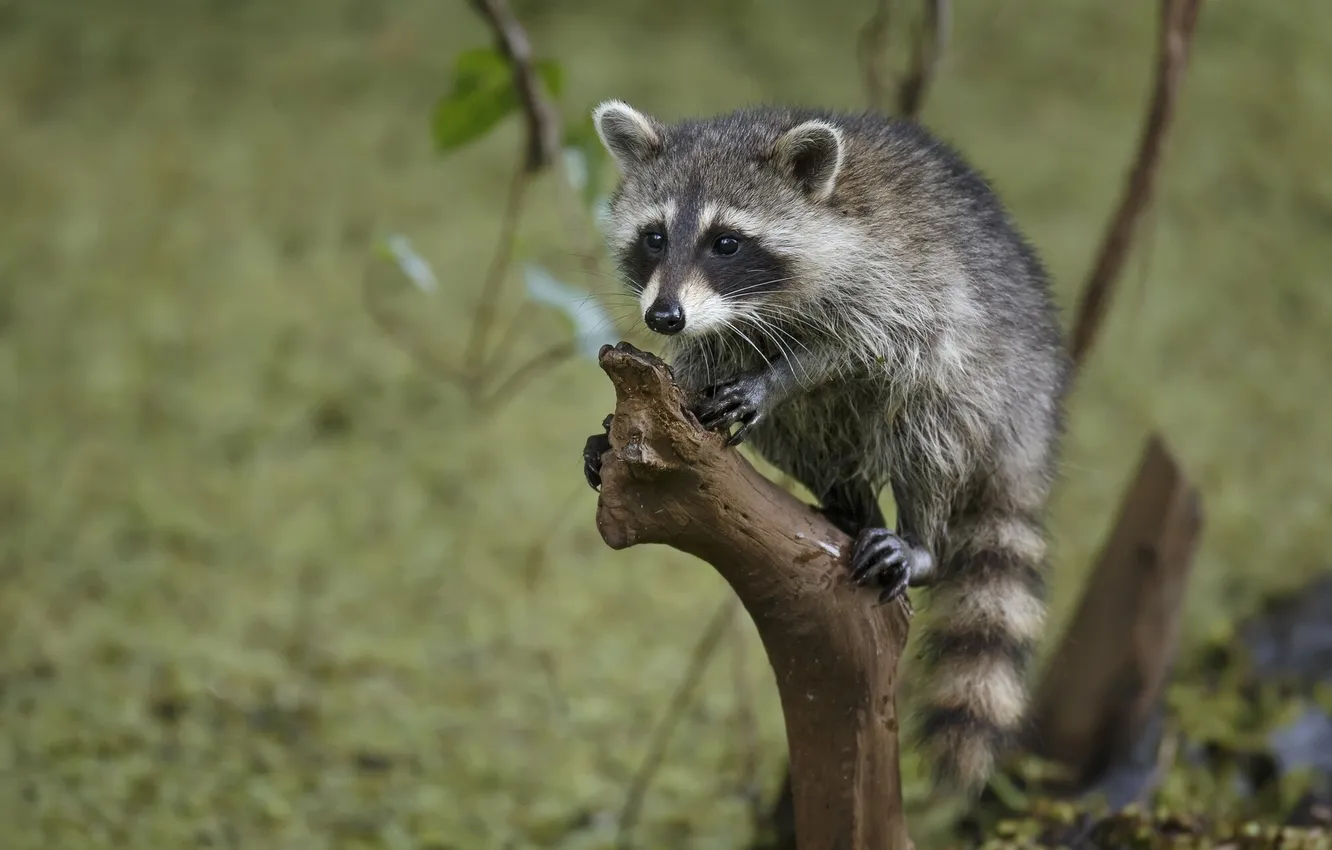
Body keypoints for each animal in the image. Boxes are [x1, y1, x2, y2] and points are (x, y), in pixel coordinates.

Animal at [581, 100, 1072, 792]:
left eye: (725, 242)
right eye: (654, 237)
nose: (663, 317)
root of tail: (1036, 419)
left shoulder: (898, 279)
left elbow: (866, 349)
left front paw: (778, 377)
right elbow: (705, 362)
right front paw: (641, 413)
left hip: (989, 385)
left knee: (926, 423)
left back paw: (919, 537)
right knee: (799, 437)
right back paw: (849, 502)